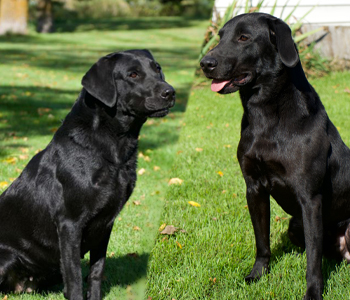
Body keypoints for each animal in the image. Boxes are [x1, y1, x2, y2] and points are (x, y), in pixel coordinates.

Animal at [0, 49, 175, 300]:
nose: (170, 92)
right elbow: (74, 276)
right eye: (132, 74)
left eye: (157, 69)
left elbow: (96, 271)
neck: (113, 149)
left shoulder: (106, 223)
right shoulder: (70, 224)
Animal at [200, 12, 350, 300]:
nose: (204, 63)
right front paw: (257, 274)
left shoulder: (310, 198)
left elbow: (313, 260)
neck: (266, 116)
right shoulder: (254, 188)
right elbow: (262, 241)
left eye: (244, 37)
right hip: (294, 225)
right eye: (220, 36)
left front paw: (313, 293)